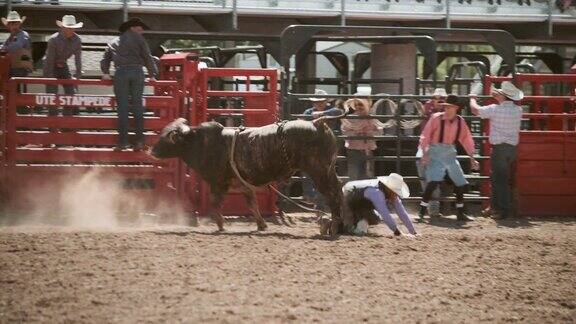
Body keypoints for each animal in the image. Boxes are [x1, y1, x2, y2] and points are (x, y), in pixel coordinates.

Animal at [151, 117, 344, 237]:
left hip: (320, 173)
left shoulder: (218, 183)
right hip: (328, 171)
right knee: (339, 191)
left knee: (333, 196)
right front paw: (261, 225)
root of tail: (317, 123)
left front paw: (221, 225)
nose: (151, 151)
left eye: (166, 138)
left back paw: (334, 226)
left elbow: (215, 204)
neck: (201, 143)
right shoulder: (243, 184)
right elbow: (252, 204)